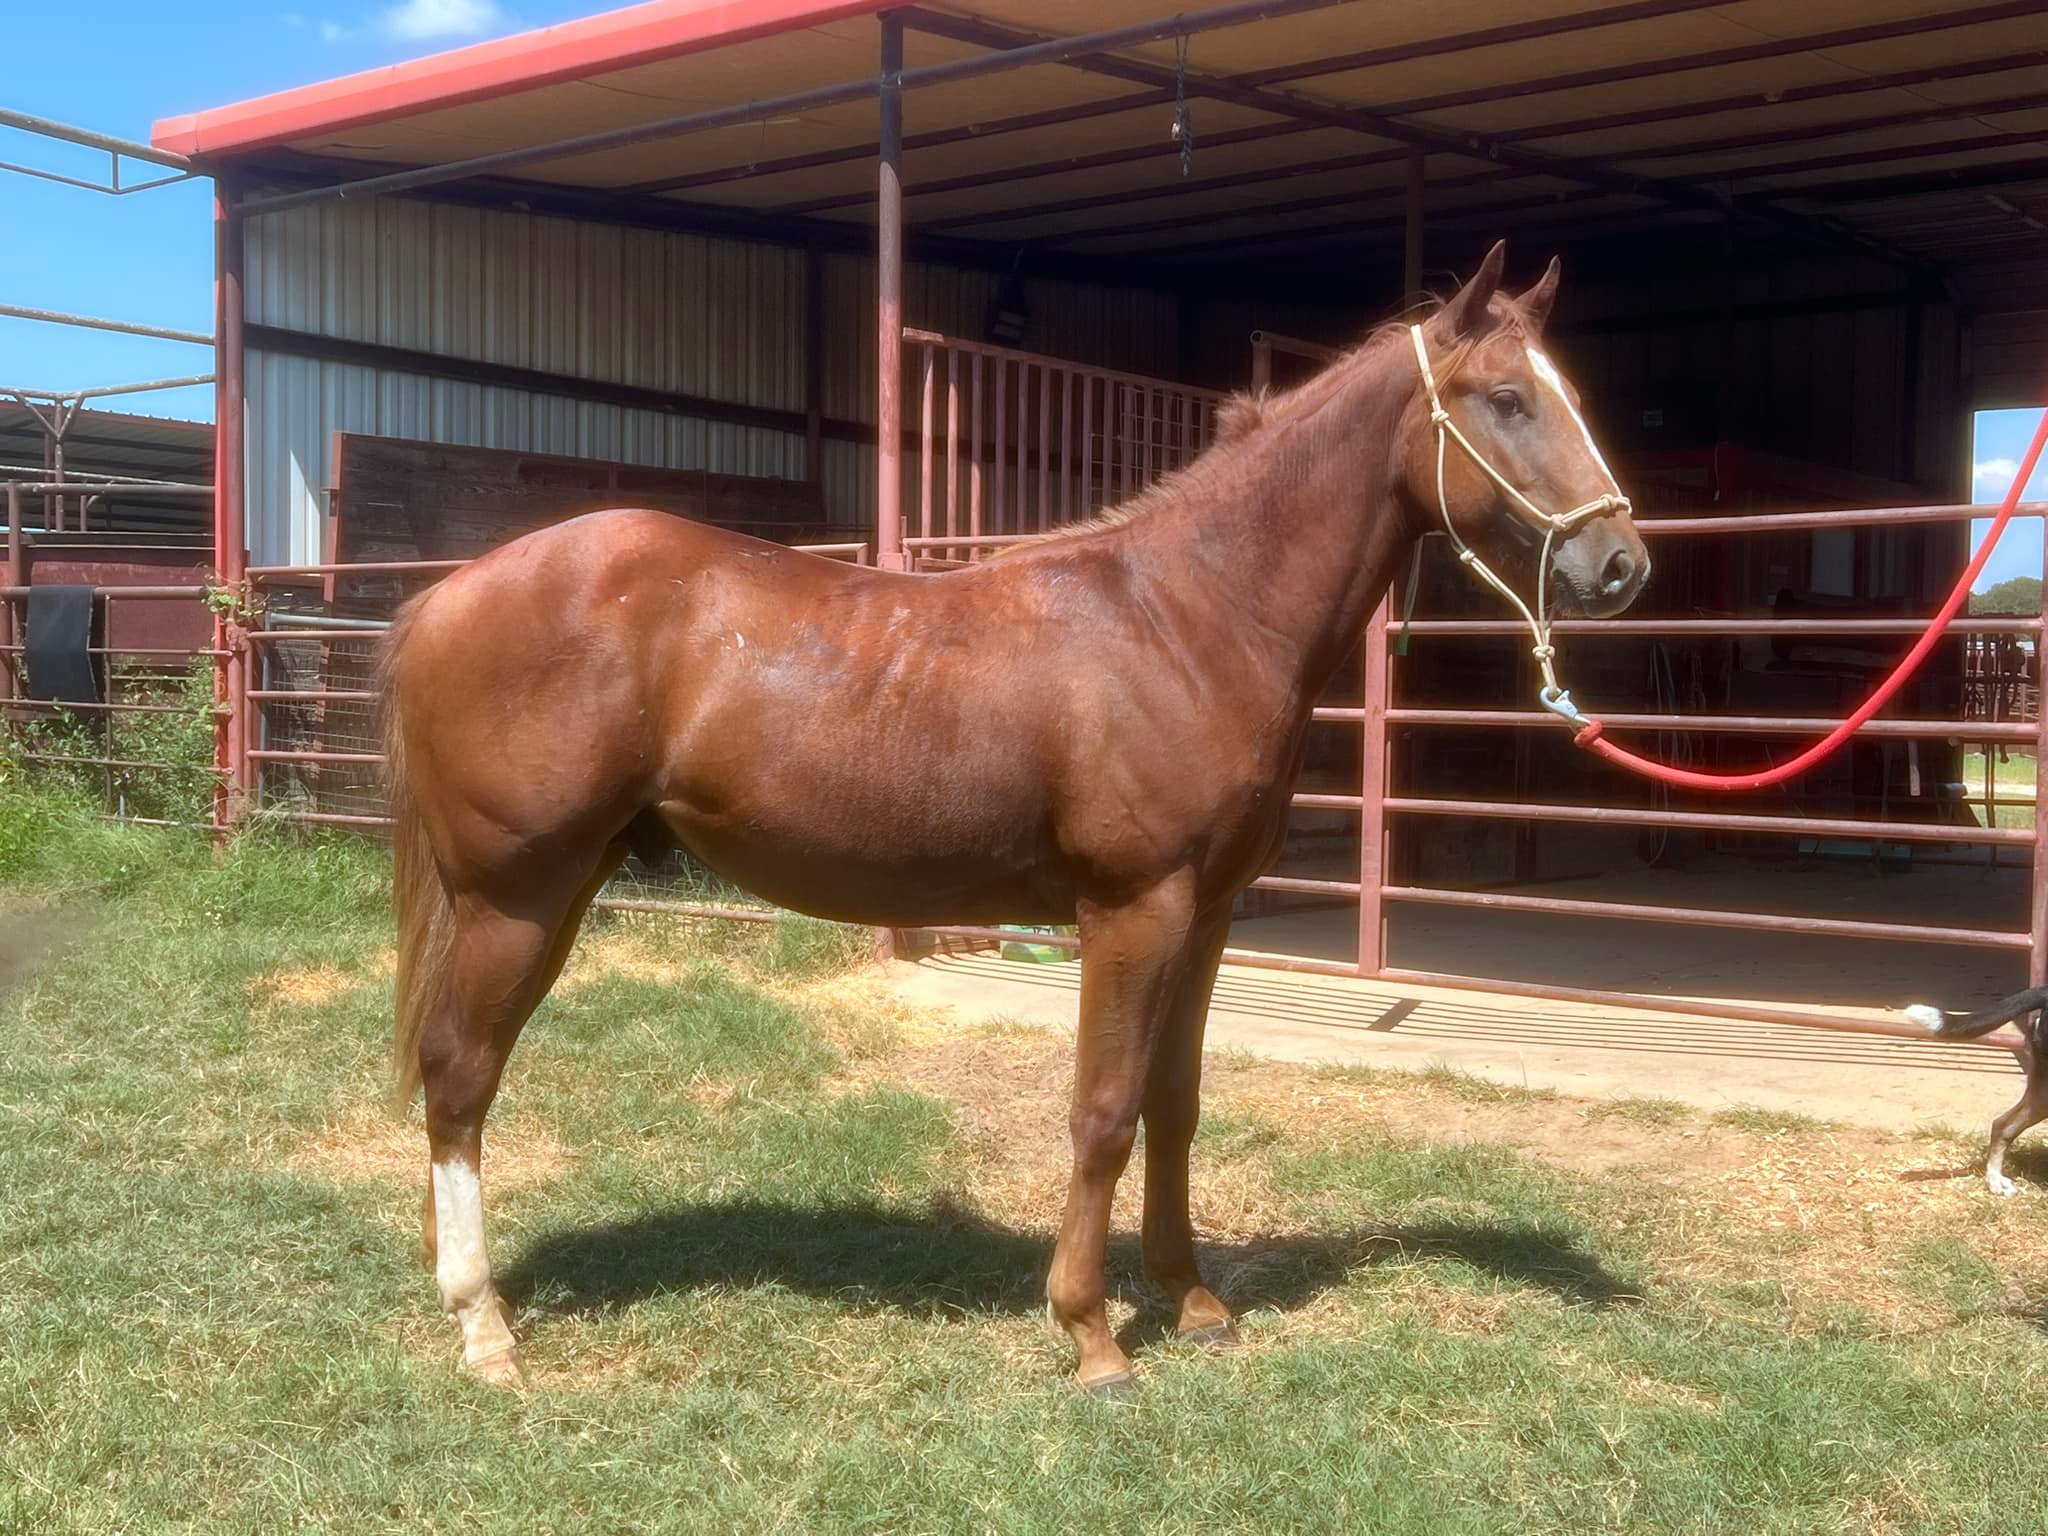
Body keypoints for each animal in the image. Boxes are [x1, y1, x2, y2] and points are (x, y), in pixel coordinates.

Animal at [381, 240, 1649, 1394]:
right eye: (1504, 399)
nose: (1618, 565)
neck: (1188, 617)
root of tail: (447, 595)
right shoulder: (1131, 912)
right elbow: (1101, 1111)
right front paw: (1090, 1336)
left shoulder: (1207, 916)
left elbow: (1174, 1104)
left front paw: (1191, 1300)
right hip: (515, 896)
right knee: (459, 1074)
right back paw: (482, 1326)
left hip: (560, 889)